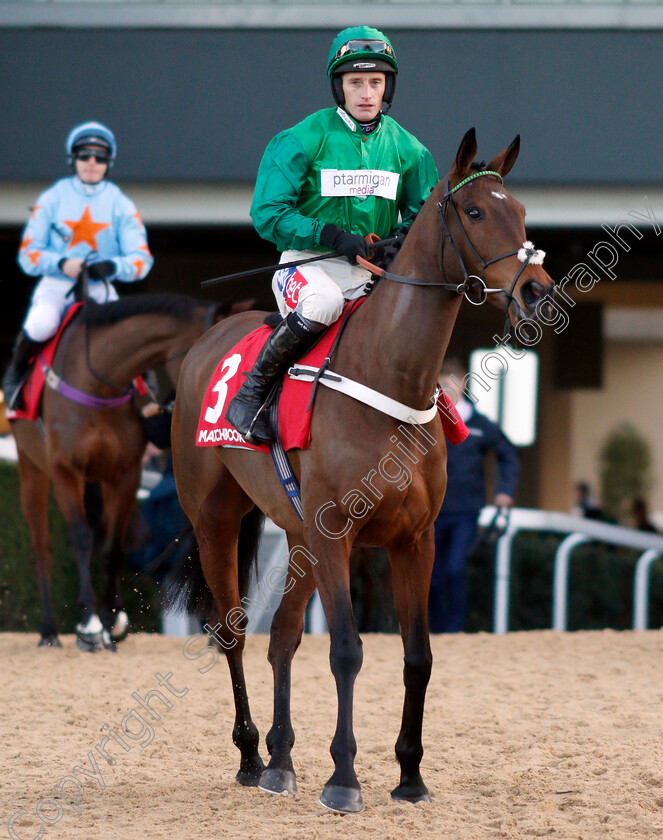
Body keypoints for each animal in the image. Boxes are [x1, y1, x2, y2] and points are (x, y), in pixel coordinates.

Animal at [9, 292, 219, 652]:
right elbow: (81, 539)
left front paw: (112, 621)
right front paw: (91, 625)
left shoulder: (124, 473)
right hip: (31, 468)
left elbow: (112, 548)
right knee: (41, 549)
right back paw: (50, 630)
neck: (98, 383)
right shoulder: (65, 469)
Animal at [170, 131, 556, 812]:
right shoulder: (337, 534)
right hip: (216, 518)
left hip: (298, 537)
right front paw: (344, 778)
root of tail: (206, 342)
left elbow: (417, 656)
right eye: (476, 212)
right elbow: (347, 651)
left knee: (282, 636)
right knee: (232, 631)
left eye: (523, 212)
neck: (390, 374)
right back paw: (249, 754)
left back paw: (280, 761)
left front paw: (410, 776)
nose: (537, 292)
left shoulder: (414, 540)